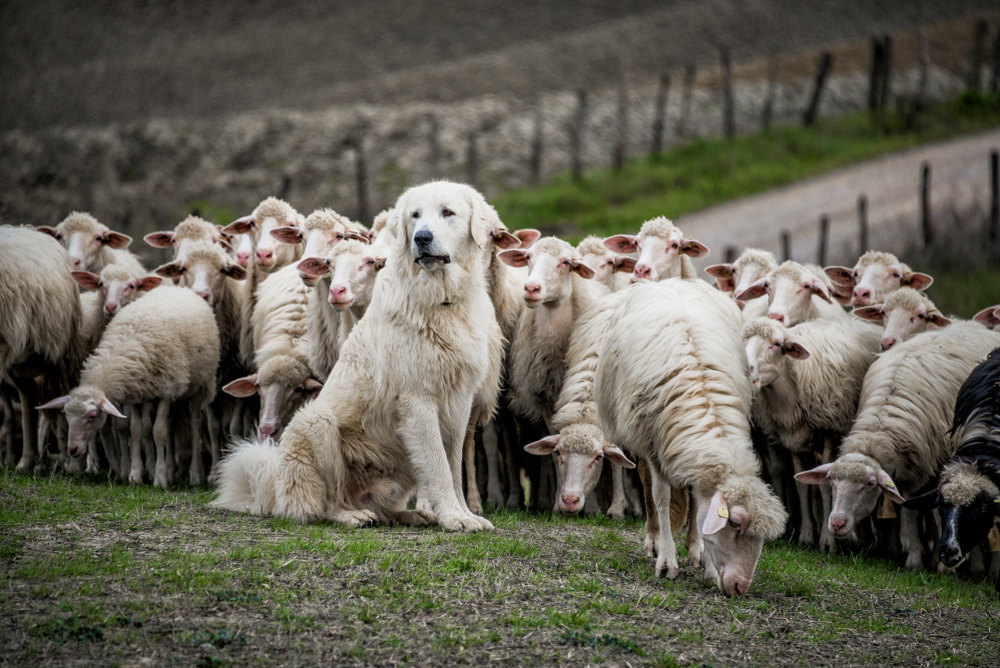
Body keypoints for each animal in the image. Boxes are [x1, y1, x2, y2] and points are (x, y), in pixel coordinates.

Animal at [37, 285, 219, 488]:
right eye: (67, 415)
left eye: (92, 416)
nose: (73, 450)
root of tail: (177, 287)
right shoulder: (135, 394)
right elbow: (135, 430)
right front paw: (135, 475)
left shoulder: (166, 391)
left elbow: (159, 432)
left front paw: (159, 479)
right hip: (171, 390)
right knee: (171, 424)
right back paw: (172, 471)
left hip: (200, 384)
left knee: (195, 425)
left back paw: (195, 475)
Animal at [212, 181, 506, 532]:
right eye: (415, 216)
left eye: (447, 212)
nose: (422, 238)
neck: (441, 301)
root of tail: (277, 491)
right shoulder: (418, 401)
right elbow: (438, 467)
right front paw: (453, 517)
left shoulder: (460, 401)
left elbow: (454, 464)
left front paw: (464, 514)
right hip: (317, 423)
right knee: (326, 503)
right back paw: (352, 515)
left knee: (382, 507)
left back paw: (410, 514)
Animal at [595, 279, 787, 596]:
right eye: (735, 522)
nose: (739, 587)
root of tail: (671, 280)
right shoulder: (653, 442)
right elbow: (660, 496)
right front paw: (666, 562)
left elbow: (699, 504)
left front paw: (705, 563)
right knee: (647, 487)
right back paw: (654, 539)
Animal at [742, 316, 883, 549]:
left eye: (777, 344)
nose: (747, 369)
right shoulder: (792, 439)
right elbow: (801, 485)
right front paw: (806, 535)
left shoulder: (830, 434)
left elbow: (824, 487)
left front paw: (827, 542)